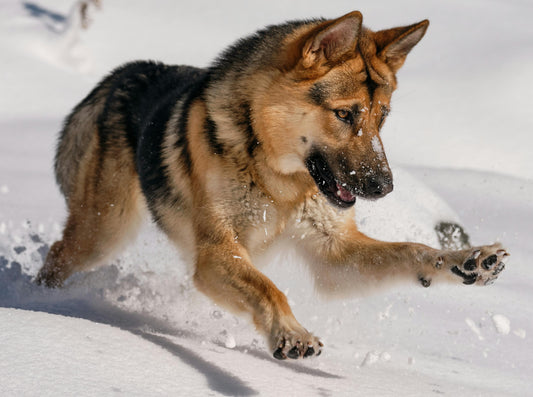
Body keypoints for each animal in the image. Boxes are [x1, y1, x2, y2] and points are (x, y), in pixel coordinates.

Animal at [37, 11, 508, 358]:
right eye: (345, 114)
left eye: (383, 116)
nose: (384, 187)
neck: (278, 178)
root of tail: (122, 74)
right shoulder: (215, 253)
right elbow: (269, 288)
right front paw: (291, 333)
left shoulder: (334, 254)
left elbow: (414, 250)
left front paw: (470, 260)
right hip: (105, 233)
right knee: (57, 256)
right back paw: (42, 304)